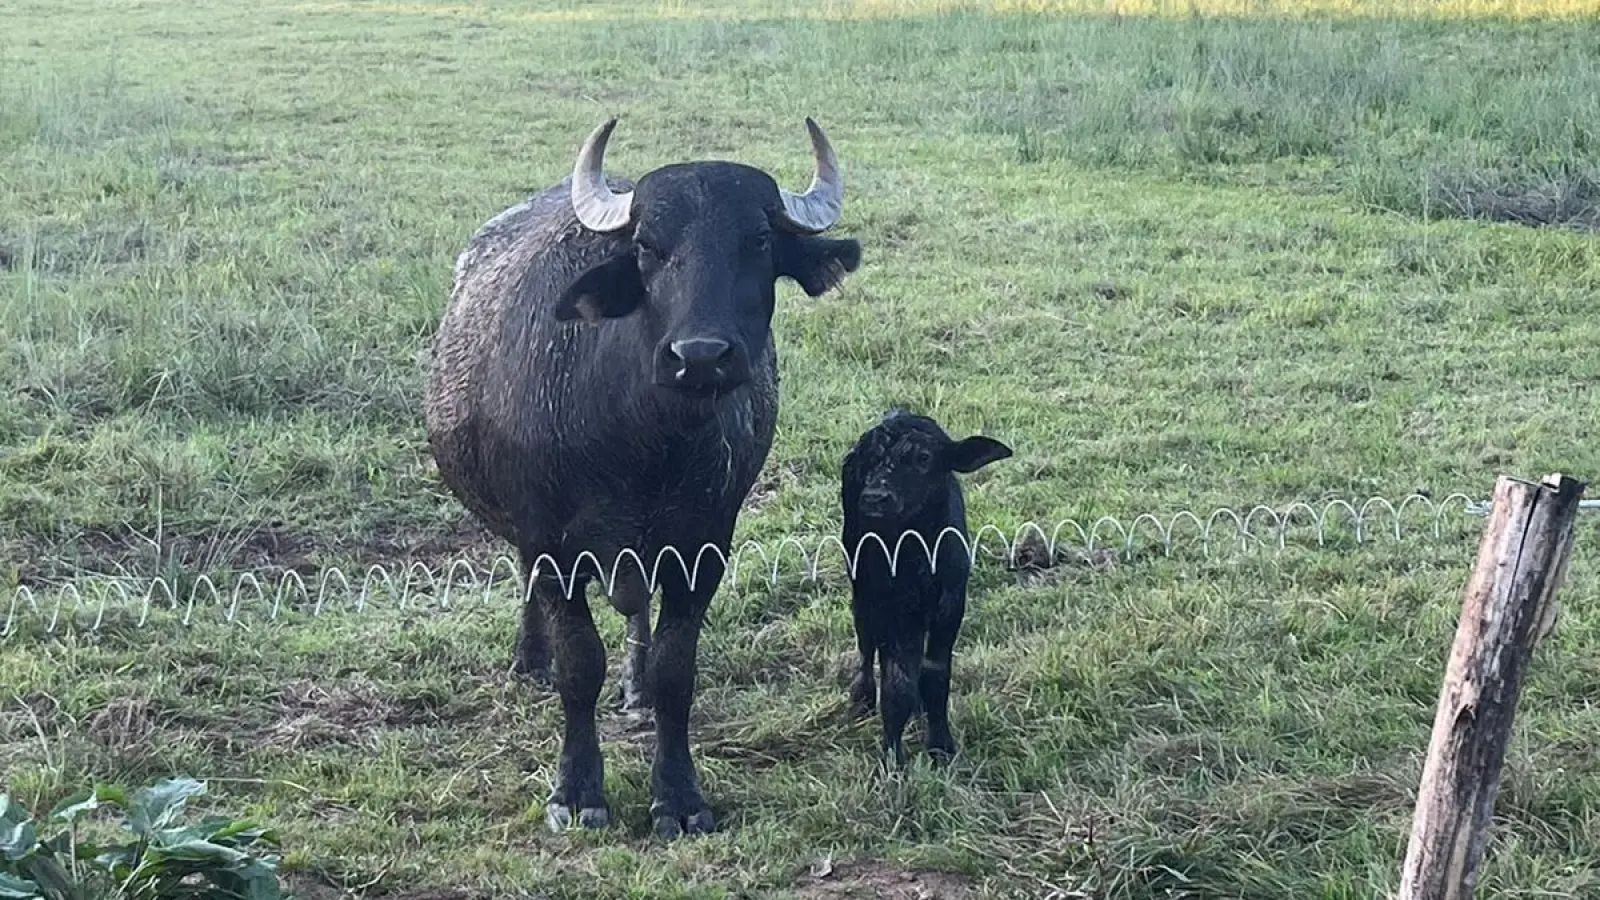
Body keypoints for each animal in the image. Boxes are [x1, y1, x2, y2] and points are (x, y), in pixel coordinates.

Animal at [425, 117, 864, 832]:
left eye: (758, 239)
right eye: (648, 246)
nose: (700, 356)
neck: (645, 447)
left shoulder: (704, 543)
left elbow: (673, 669)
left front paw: (679, 795)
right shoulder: (549, 541)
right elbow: (580, 664)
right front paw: (577, 791)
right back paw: (529, 657)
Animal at [838, 406, 1011, 762]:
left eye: (924, 457)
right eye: (867, 459)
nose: (874, 498)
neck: (917, 553)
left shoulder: (951, 607)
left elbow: (935, 675)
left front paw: (941, 745)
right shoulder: (890, 607)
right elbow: (896, 685)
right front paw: (892, 758)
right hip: (860, 585)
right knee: (865, 638)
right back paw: (862, 696)